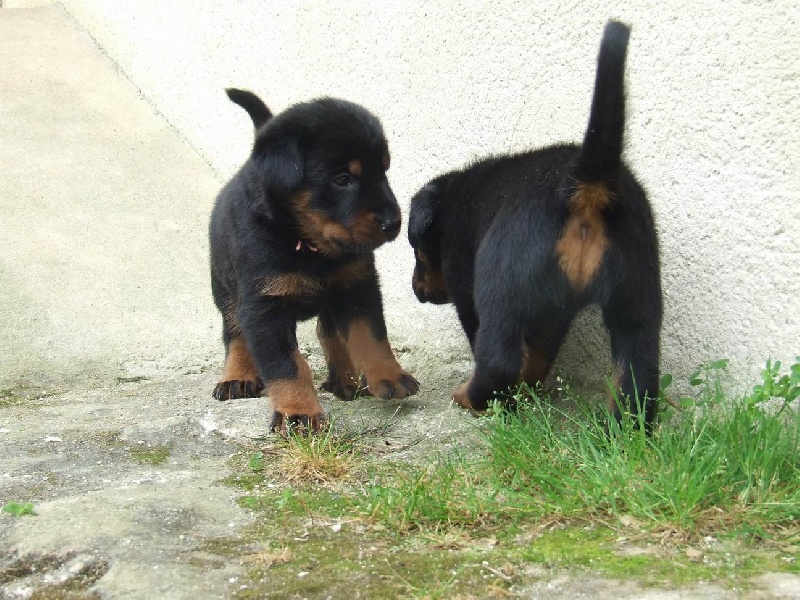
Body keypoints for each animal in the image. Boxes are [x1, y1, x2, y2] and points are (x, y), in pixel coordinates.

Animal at [212, 89, 418, 434]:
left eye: (384, 171)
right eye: (343, 178)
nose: (394, 223)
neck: (309, 248)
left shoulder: (356, 286)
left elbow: (371, 336)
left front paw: (389, 375)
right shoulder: (264, 307)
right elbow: (287, 366)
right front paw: (298, 412)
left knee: (329, 332)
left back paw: (345, 381)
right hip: (225, 288)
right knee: (234, 332)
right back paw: (237, 376)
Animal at [410, 21, 660, 428]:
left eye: (416, 251)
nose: (415, 289)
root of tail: (584, 182)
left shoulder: (464, 282)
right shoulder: (553, 309)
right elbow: (540, 354)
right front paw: (528, 391)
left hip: (501, 287)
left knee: (497, 360)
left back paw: (472, 398)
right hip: (637, 289)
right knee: (637, 371)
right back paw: (622, 431)